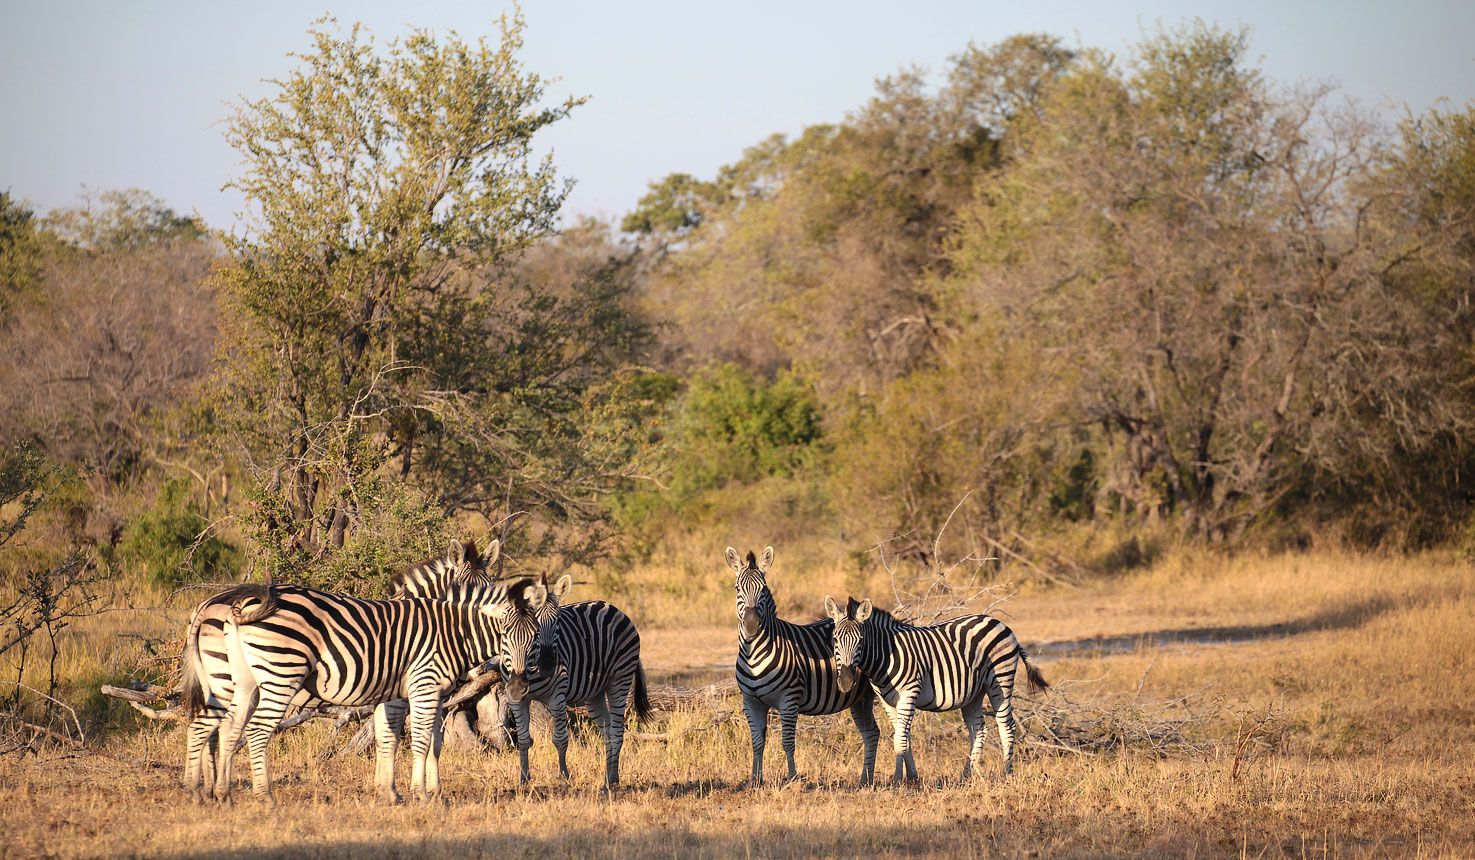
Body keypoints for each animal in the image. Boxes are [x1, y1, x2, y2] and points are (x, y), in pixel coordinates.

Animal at [179, 536, 495, 808]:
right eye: (462, 589)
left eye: (490, 587)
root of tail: (206, 604)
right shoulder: (402, 693)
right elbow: (399, 738)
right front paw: (409, 793)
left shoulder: (390, 692)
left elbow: (408, 739)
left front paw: (395, 791)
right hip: (243, 677)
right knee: (220, 729)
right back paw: (222, 793)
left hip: (233, 682)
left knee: (216, 729)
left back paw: (214, 792)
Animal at [495, 572, 651, 784]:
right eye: (504, 633)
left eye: (557, 623)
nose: (548, 665)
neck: (531, 670)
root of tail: (611, 607)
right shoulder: (516, 700)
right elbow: (524, 740)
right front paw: (524, 780)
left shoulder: (557, 697)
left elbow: (560, 740)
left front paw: (564, 778)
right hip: (594, 693)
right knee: (607, 730)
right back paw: (608, 778)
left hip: (620, 680)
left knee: (617, 732)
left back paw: (611, 781)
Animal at [725, 545, 873, 784]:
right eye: (737, 588)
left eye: (763, 589)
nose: (751, 625)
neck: (752, 653)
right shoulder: (751, 701)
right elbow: (757, 741)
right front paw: (756, 780)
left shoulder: (789, 699)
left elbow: (787, 741)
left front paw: (793, 779)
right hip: (861, 698)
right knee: (872, 734)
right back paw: (866, 780)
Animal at [820, 595, 1050, 784]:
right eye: (835, 640)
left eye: (860, 640)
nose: (846, 682)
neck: (885, 655)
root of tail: (999, 622)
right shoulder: (887, 700)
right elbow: (902, 736)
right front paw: (911, 778)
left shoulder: (909, 692)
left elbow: (900, 739)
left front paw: (897, 781)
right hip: (975, 692)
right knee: (978, 729)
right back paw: (967, 776)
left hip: (1000, 682)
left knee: (1007, 726)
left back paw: (1006, 774)